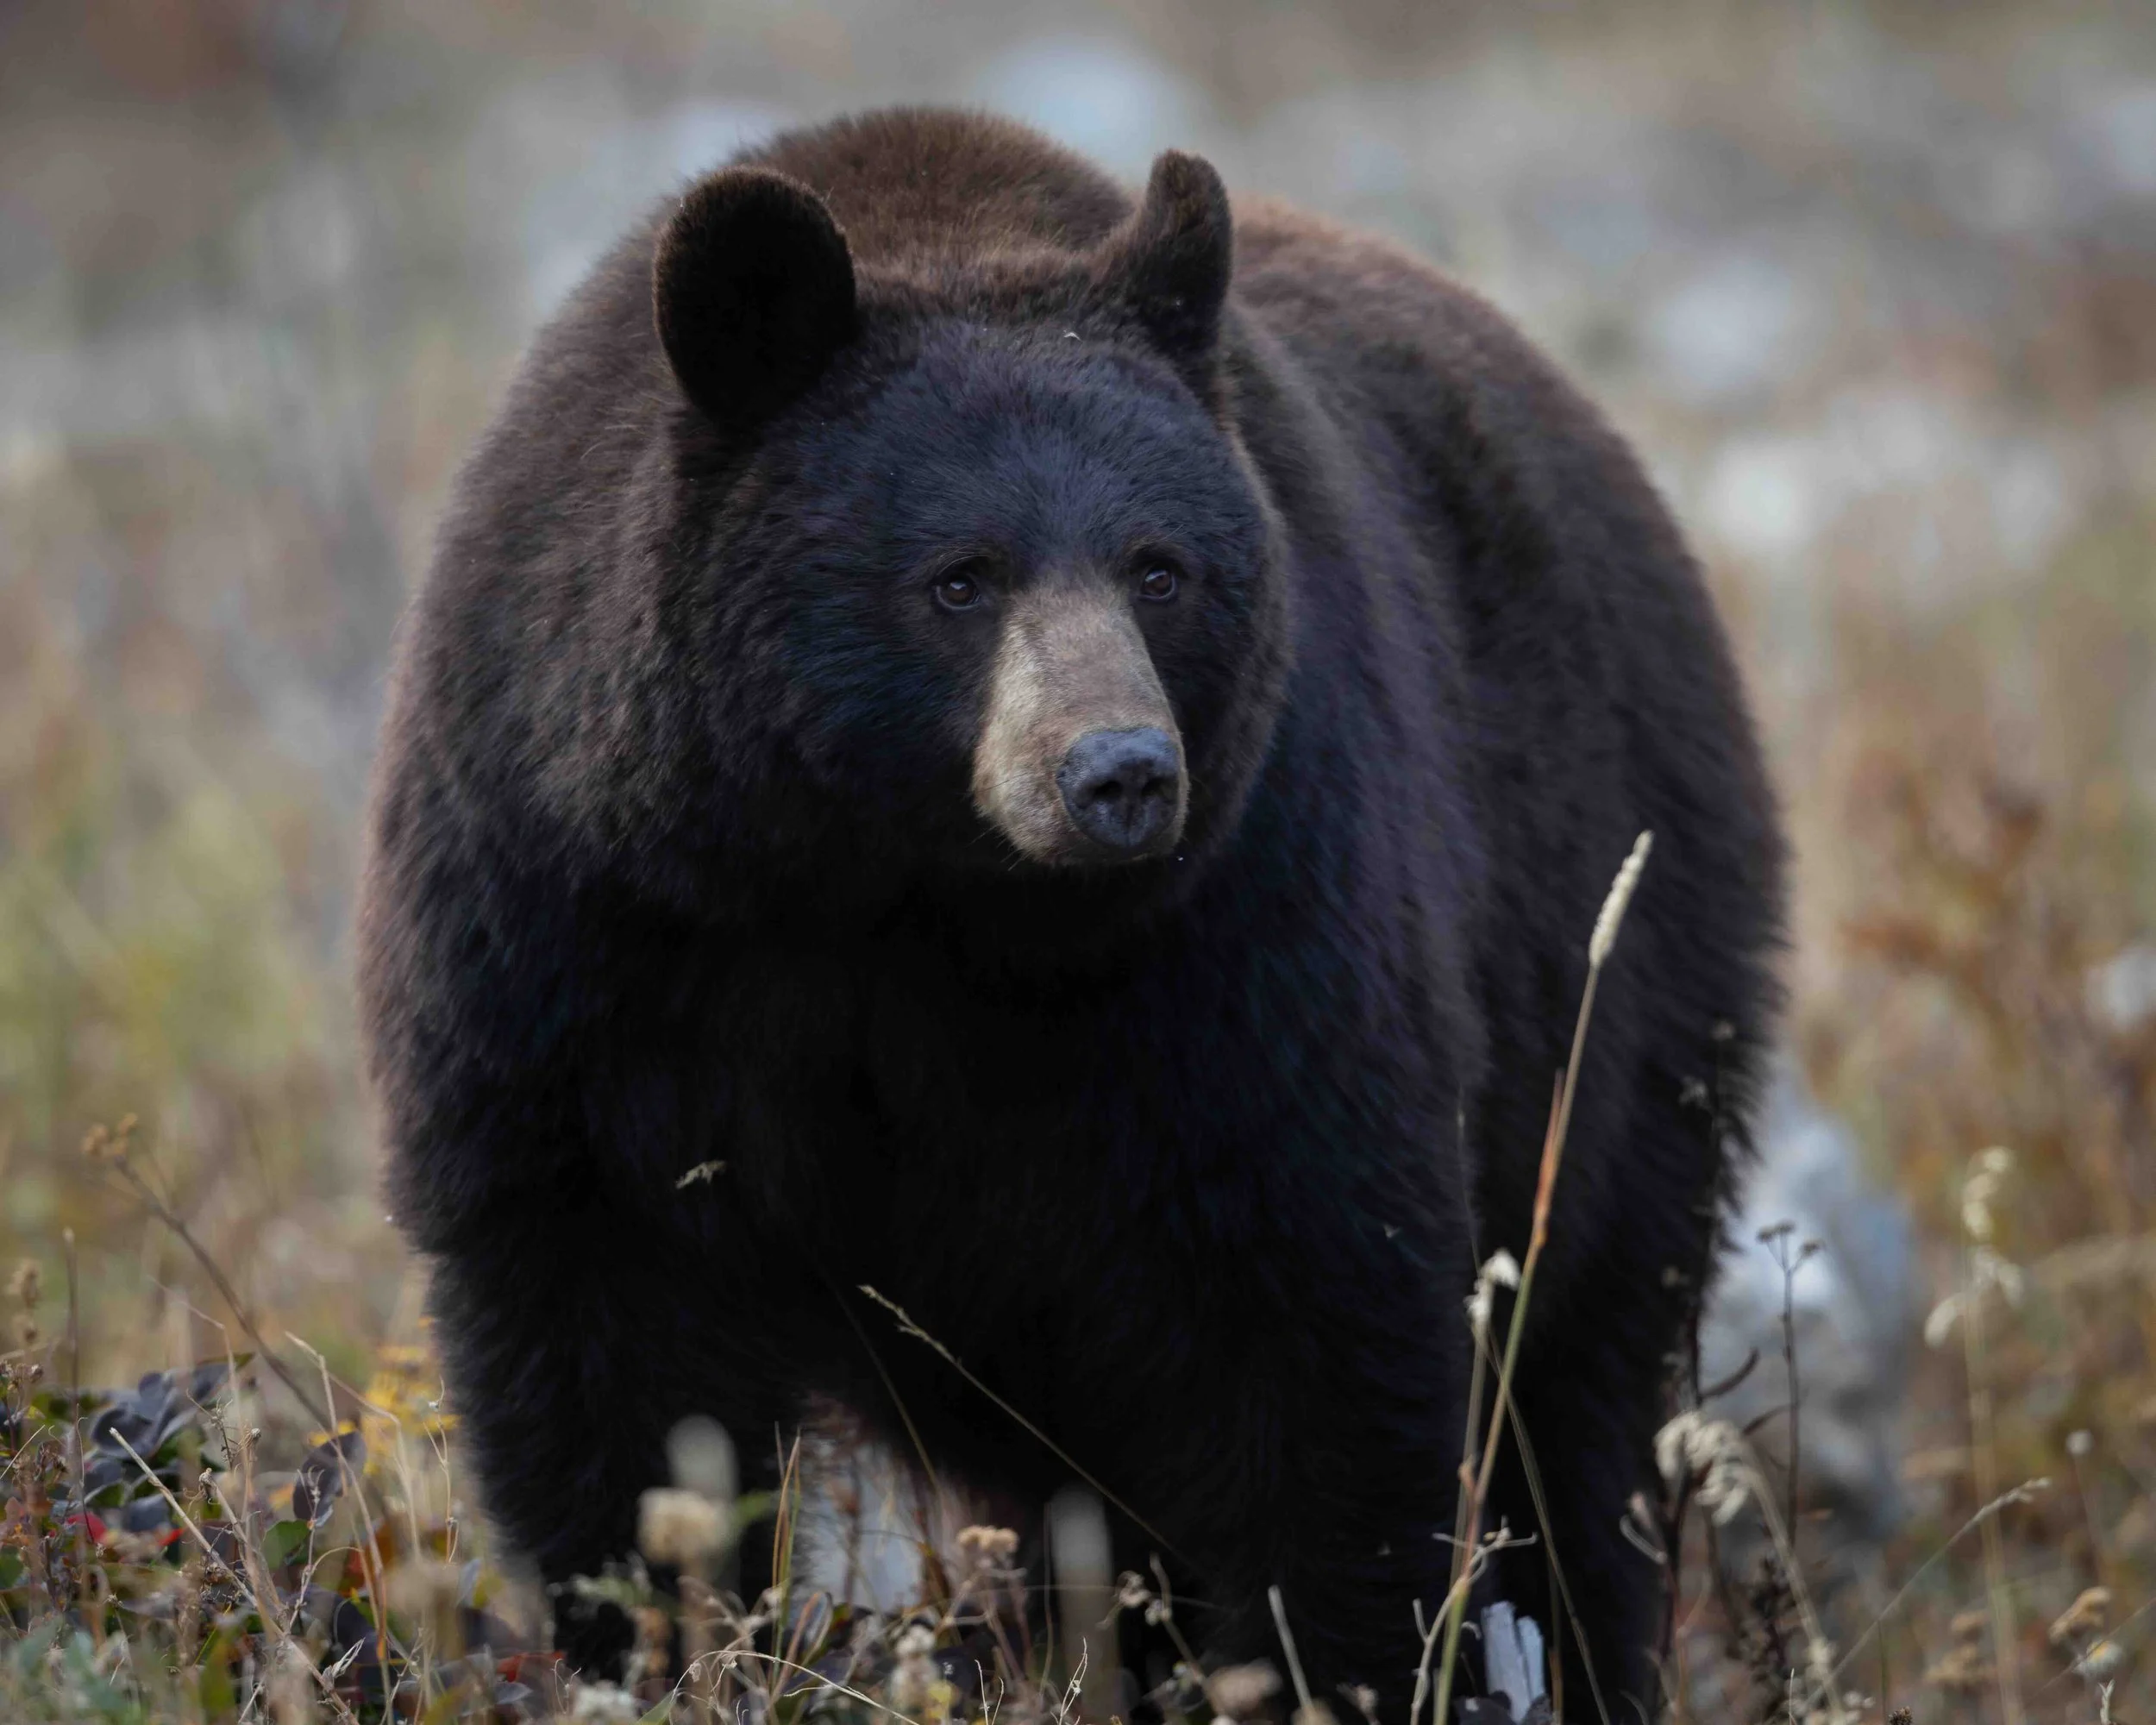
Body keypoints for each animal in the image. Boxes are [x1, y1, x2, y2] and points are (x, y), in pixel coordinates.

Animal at [357, 106, 1783, 1717]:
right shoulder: (582, 913)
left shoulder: (1246, 921)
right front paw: (658, 1639)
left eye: (1160, 568)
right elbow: (605, 1314)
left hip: (1621, 964)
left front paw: (1327, 1663)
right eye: (959, 578)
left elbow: (1311, 1310)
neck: (904, 895)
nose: (1119, 774)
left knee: (1573, 1385)